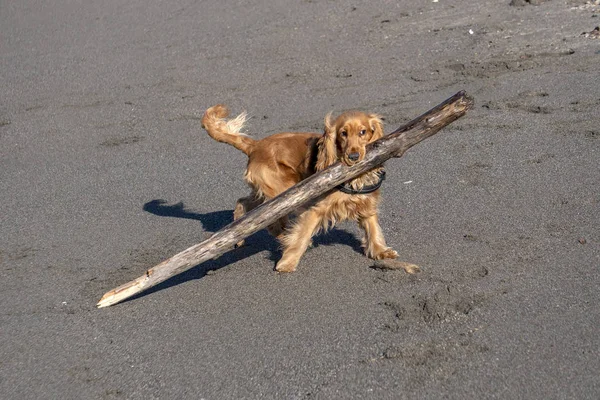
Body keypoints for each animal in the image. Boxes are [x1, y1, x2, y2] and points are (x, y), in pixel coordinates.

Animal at [204, 104, 400, 272]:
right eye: (343, 134)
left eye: (363, 132)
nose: (353, 156)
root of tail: (255, 145)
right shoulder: (315, 208)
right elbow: (302, 235)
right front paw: (287, 263)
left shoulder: (367, 203)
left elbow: (373, 228)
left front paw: (381, 251)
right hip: (284, 193)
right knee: (272, 223)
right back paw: (283, 238)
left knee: (244, 204)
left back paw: (239, 235)